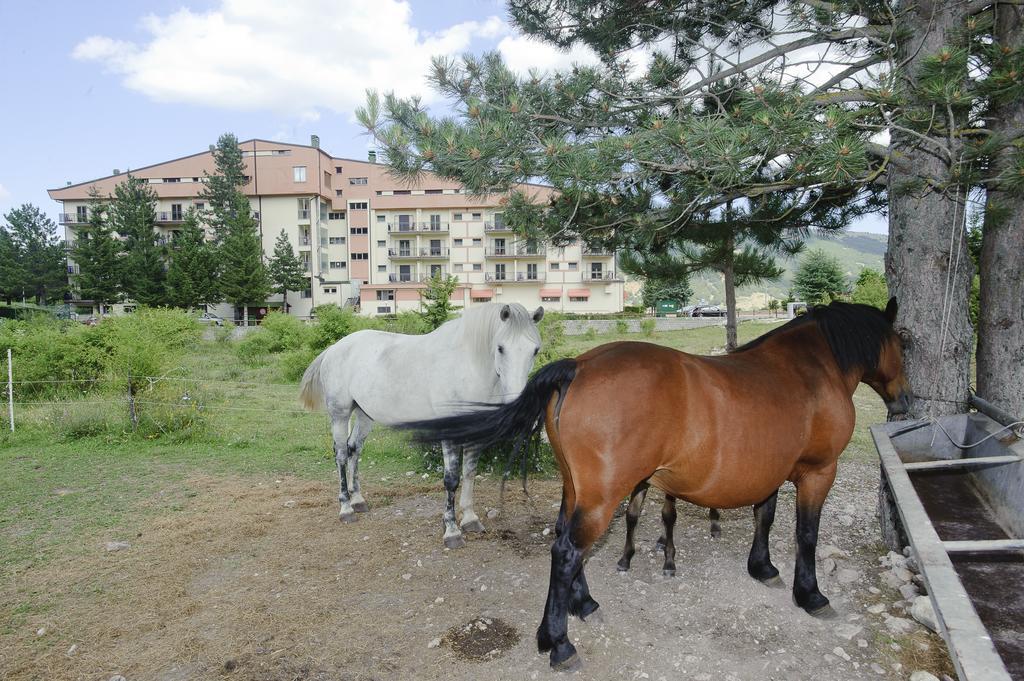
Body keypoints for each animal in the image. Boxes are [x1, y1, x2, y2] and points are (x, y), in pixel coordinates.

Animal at [299, 303, 544, 548]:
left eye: (535, 350)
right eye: (500, 348)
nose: (518, 404)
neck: (466, 367)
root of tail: (335, 348)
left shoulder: (475, 432)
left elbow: (470, 473)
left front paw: (470, 520)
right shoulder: (450, 432)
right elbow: (451, 480)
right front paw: (451, 531)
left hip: (364, 415)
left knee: (354, 449)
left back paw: (358, 500)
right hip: (340, 414)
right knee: (341, 454)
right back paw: (346, 508)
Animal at [401, 299, 913, 667]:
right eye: (903, 345)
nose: (905, 399)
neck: (810, 369)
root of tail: (578, 366)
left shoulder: (770, 474)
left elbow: (764, 517)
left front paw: (763, 568)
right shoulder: (818, 472)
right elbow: (806, 535)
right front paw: (810, 594)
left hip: (579, 490)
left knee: (567, 542)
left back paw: (580, 607)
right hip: (603, 497)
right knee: (567, 551)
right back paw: (559, 643)